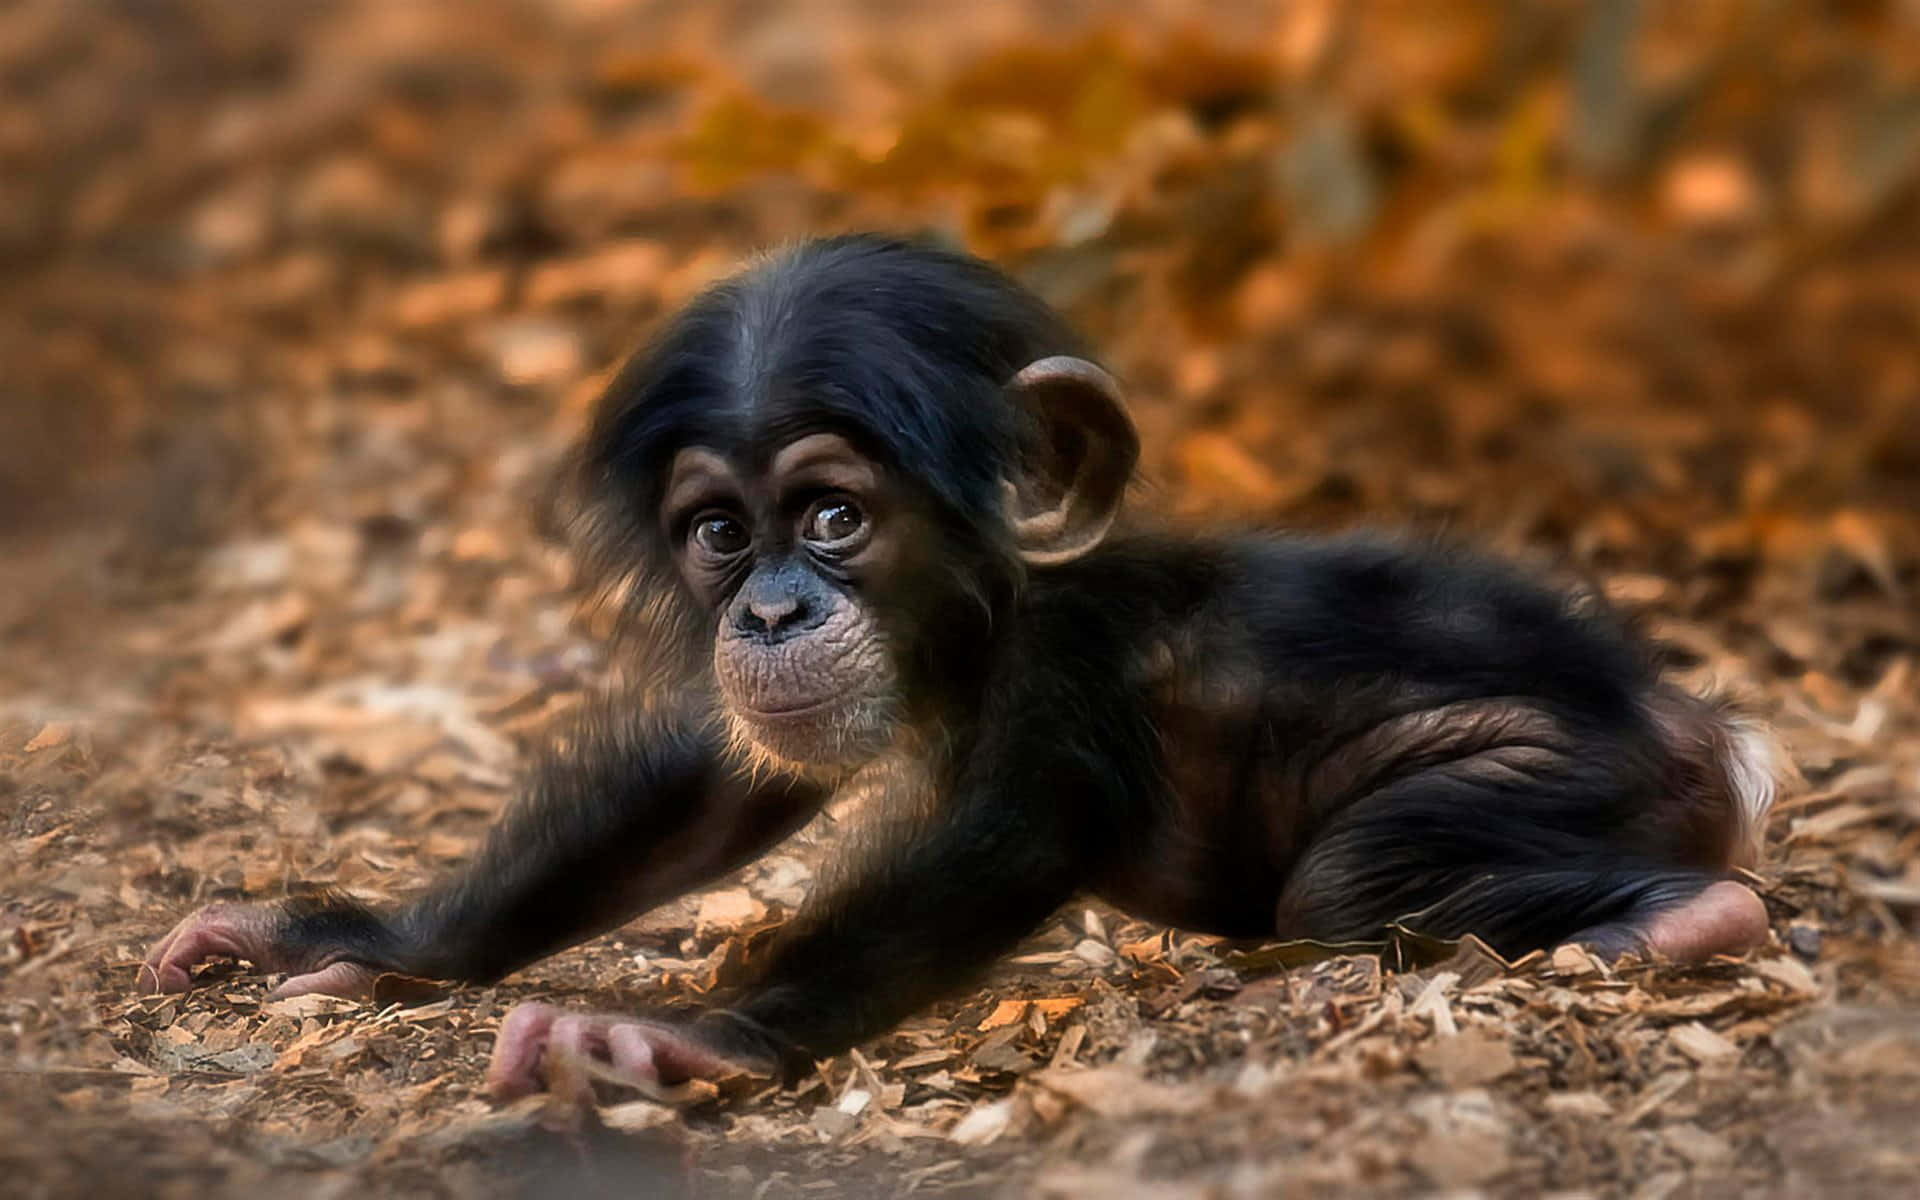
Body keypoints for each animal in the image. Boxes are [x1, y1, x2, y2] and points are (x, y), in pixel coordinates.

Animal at [141, 234, 1778, 1103]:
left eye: (834, 515)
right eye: (721, 534)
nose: (771, 611)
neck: (987, 615)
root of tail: (1715, 732)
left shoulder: (1069, 676)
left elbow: (998, 843)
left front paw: (680, 1037)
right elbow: (707, 793)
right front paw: (359, 941)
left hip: (1558, 770)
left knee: (1355, 879)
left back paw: (1683, 922)